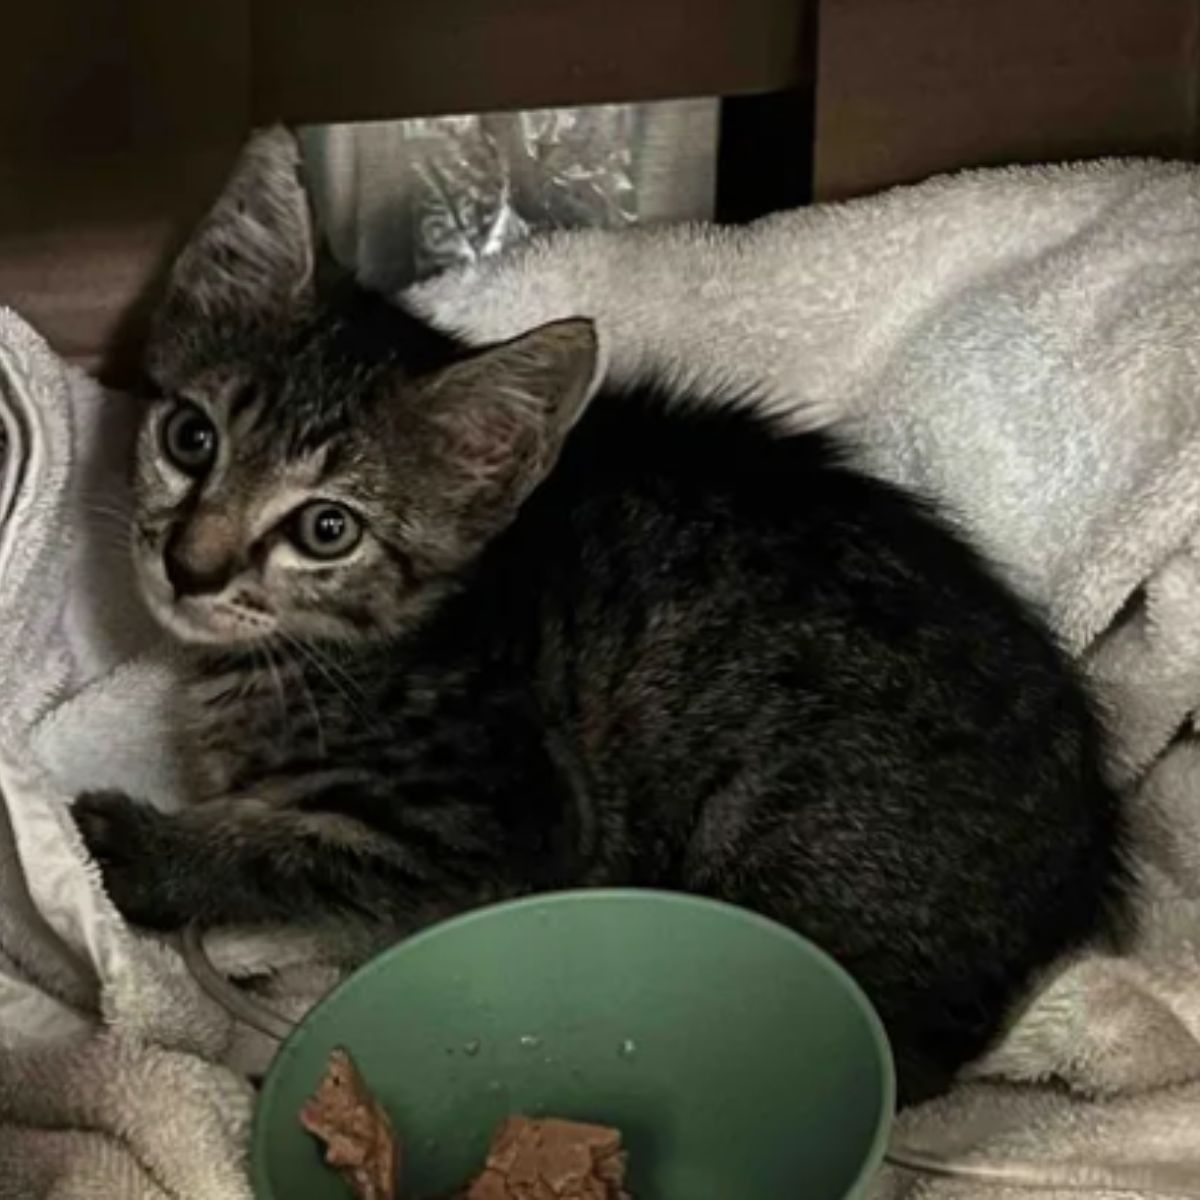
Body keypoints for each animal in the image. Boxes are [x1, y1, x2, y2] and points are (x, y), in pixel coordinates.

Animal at [75, 131, 1123, 1104]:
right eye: (191, 438)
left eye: (326, 529)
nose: (188, 567)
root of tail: (1084, 858)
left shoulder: (503, 829)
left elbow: (290, 849)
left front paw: (136, 851)